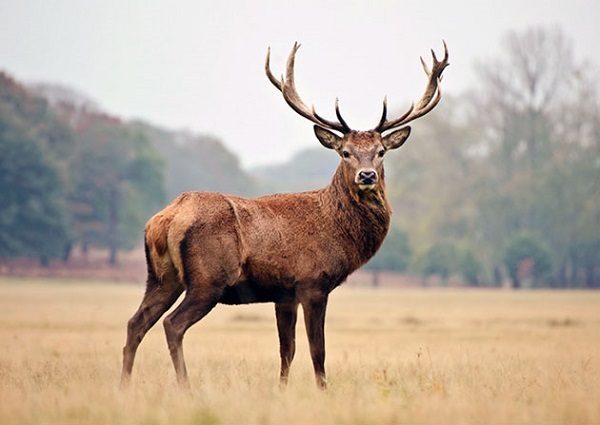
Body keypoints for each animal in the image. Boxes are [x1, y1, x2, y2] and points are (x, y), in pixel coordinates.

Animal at [119, 41, 448, 390]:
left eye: (381, 152)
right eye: (345, 152)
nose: (367, 175)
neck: (337, 230)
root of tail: (165, 219)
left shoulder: (284, 293)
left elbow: (286, 349)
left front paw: (281, 389)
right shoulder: (313, 282)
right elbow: (318, 350)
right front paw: (322, 390)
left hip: (161, 276)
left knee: (136, 322)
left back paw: (124, 386)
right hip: (208, 278)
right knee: (172, 324)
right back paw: (185, 387)